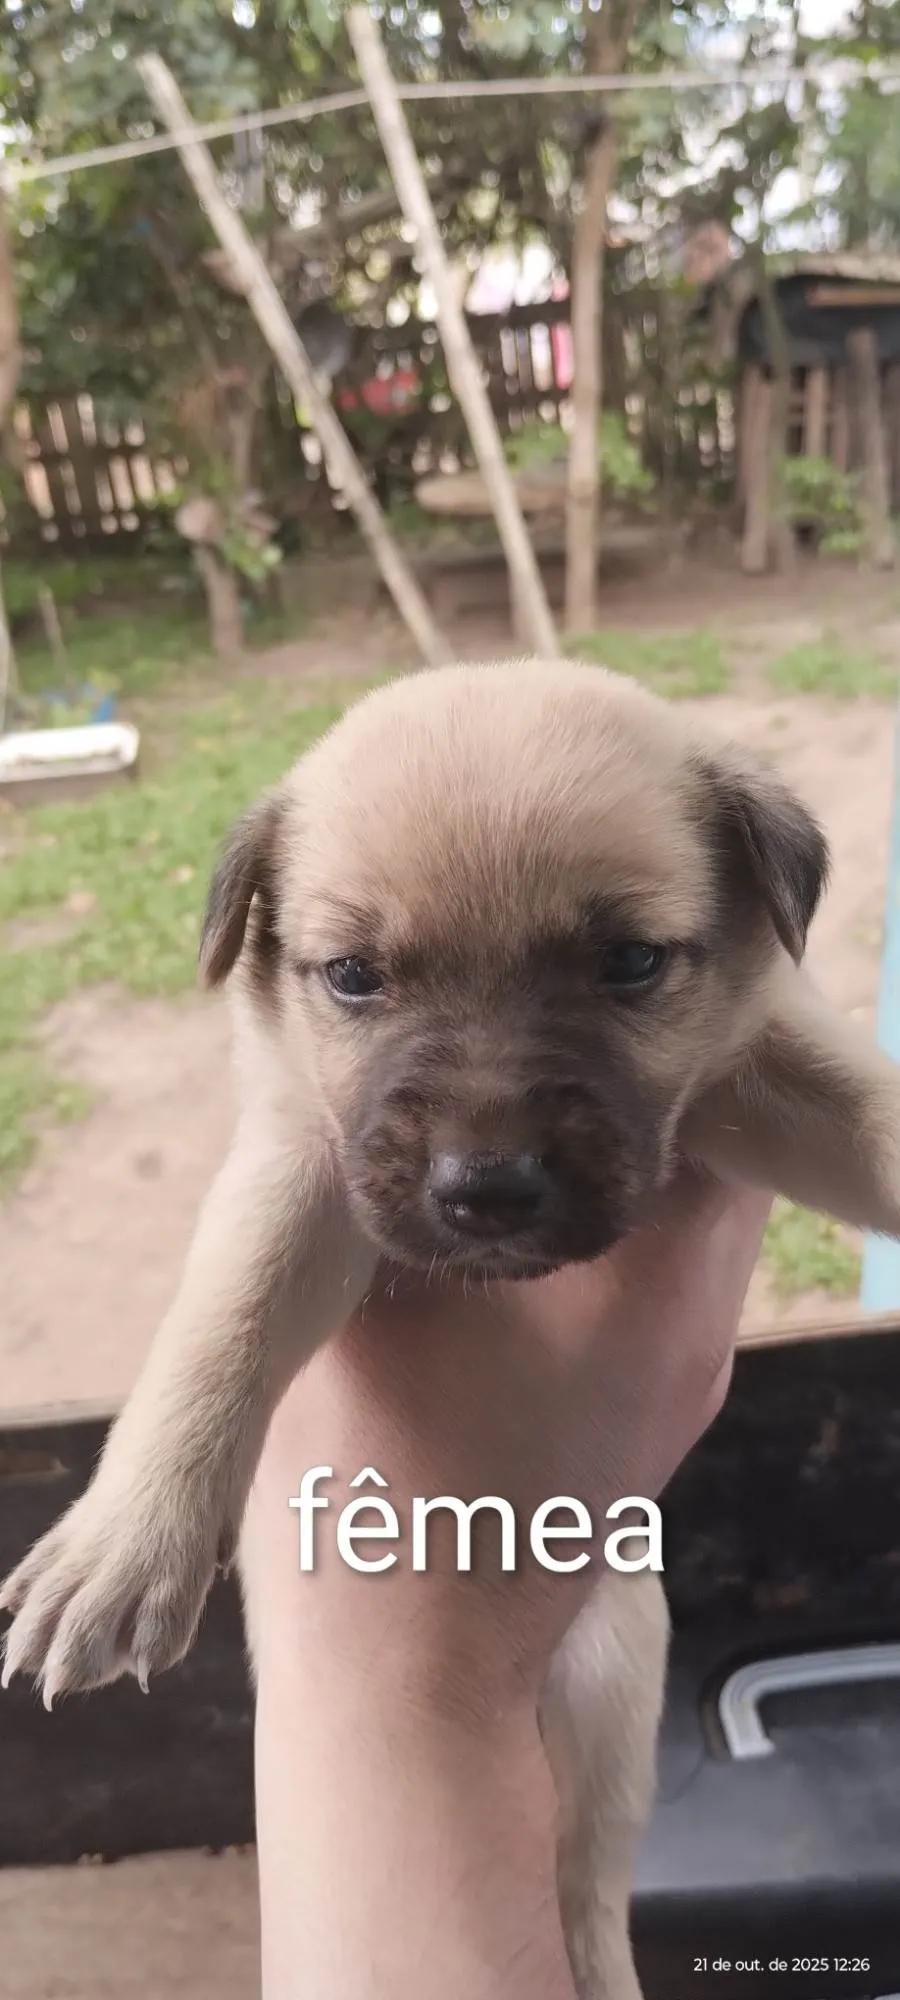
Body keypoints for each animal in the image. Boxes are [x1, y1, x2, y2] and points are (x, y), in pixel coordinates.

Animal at [4, 658, 900, 1998]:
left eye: (629, 960)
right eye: (354, 976)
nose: (486, 1189)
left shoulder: (774, 1067)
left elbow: (878, 1117)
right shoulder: (300, 1156)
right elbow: (226, 1320)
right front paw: (125, 1543)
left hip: (616, 1703)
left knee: (586, 1892)